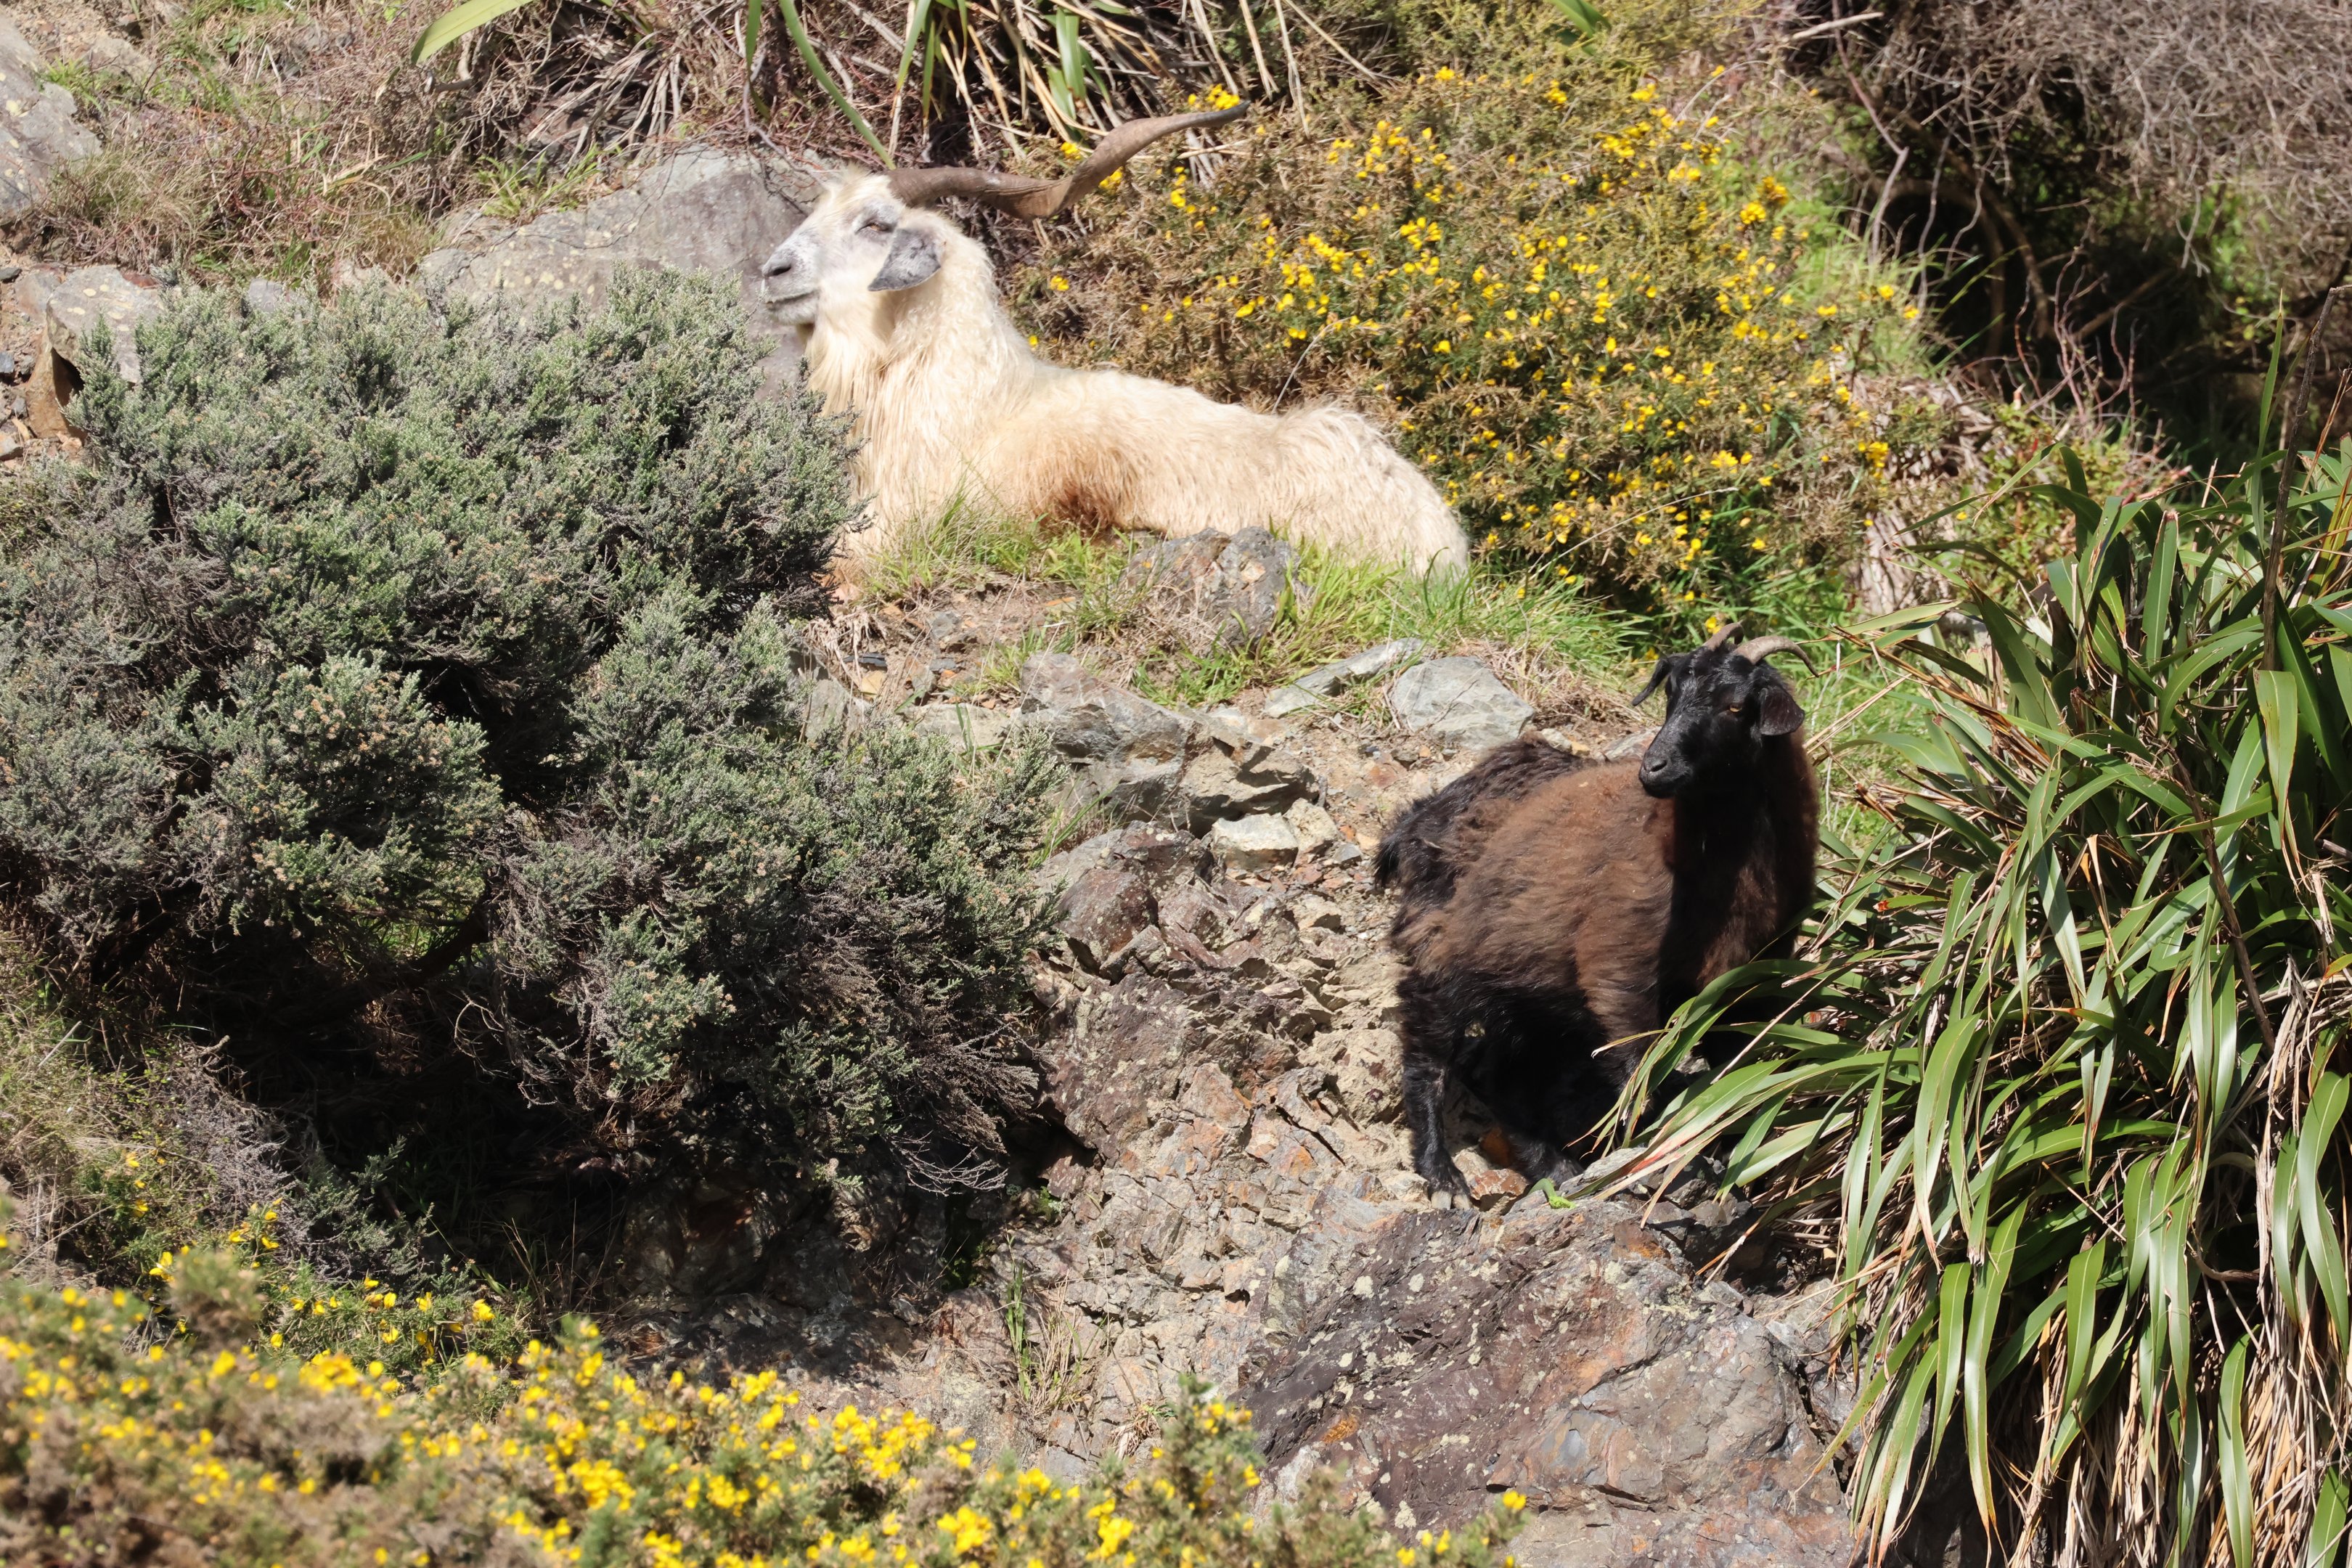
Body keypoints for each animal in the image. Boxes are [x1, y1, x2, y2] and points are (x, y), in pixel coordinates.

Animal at [1375, 625, 1820, 1202]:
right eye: (1670, 693)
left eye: (1736, 706)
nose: (1654, 768)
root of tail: (1417, 818)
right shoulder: (1620, 963)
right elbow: (1640, 1069)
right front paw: (1669, 1162)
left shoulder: (1749, 981)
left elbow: (1736, 1071)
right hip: (1446, 946)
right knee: (1427, 1047)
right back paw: (1443, 1173)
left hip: (1528, 987)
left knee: (1496, 1071)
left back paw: (1555, 1168)